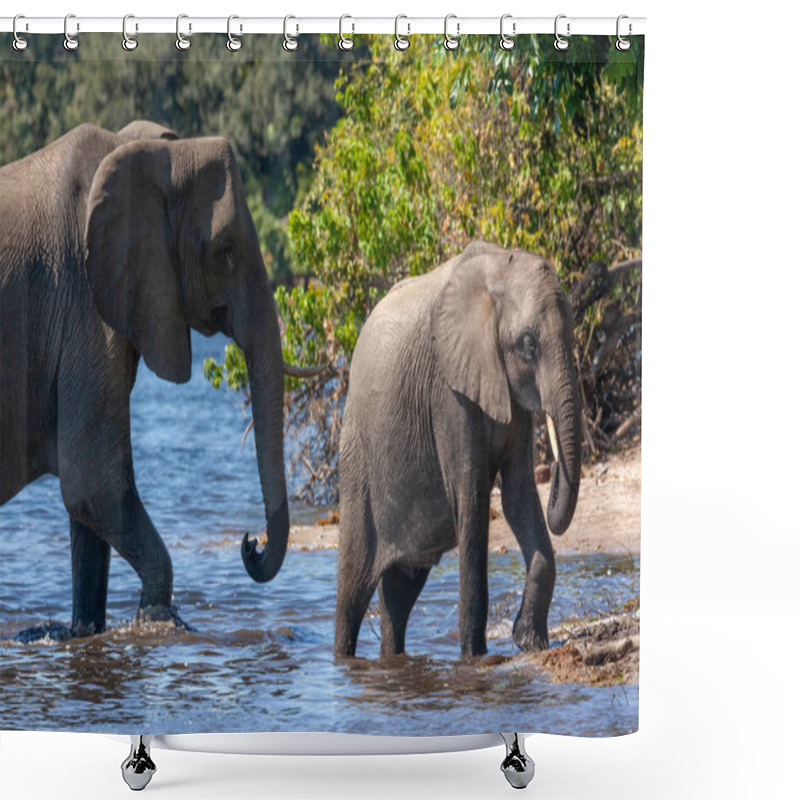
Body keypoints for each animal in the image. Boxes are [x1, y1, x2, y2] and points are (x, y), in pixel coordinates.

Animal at [0, 122, 294, 640]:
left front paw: (84, 632)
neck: (153, 152)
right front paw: (158, 620)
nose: (250, 542)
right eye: (225, 253)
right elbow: (94, 481)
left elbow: (88, 505)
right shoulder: (84, 304)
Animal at [332, 241, 580, 660]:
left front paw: (528, 640)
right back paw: (341, 658)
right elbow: (473, 499)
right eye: (528, 345)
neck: (498, 271)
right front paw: (475, 657)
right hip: (356, 461)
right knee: (351, 595)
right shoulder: (447, 392)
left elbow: (518, 496)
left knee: (398, 596)